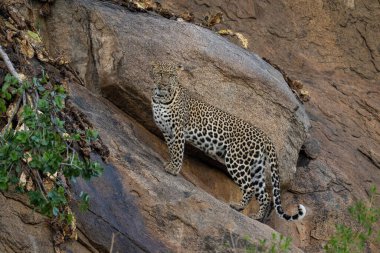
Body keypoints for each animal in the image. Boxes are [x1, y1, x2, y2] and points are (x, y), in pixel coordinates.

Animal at [151, 61, 306, 221]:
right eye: (160, 74)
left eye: (171, 75)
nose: (164, 84)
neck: (161, 98)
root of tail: (266, 137)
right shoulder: (167, 131)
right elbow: (171, 149)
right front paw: (170, 164)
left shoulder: (178, 130)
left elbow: (178, 151)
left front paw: (174, 169)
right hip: (257, 167)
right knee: (265, 195)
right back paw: (256, 217)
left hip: (236, 160)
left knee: (250, 187)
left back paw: (238, 206)